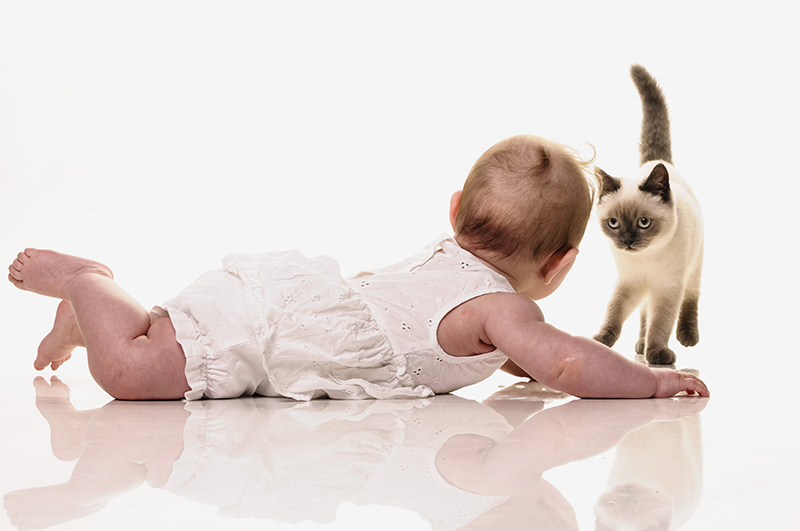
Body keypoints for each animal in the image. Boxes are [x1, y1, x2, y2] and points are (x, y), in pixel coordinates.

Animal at [592, 65, 704, 366]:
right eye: (614, 223)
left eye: (644, 223)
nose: (628, 241)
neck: (646, 259)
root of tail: (657, 162)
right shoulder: (629, 283)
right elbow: (614, 312)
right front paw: (600, 341)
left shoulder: (667, 288)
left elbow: (661, 324)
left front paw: (658, 355)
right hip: (645, 290)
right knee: (643, 315)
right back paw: (640, 345)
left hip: (692, 270)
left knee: (690, 300)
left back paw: (686, 338)